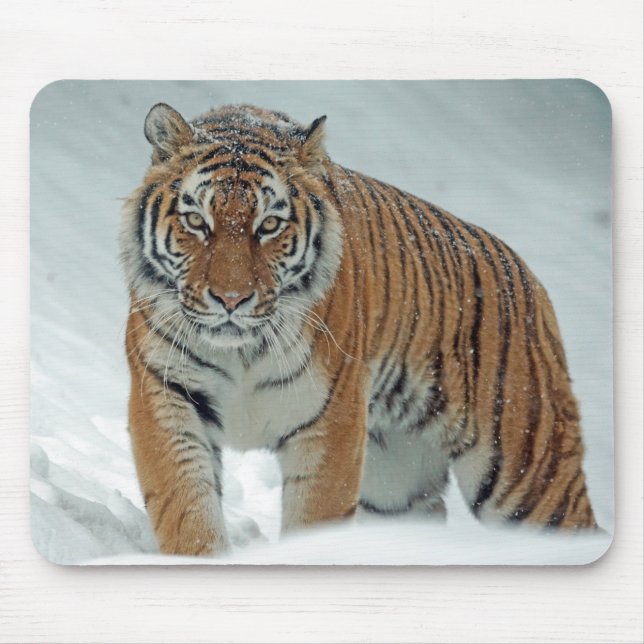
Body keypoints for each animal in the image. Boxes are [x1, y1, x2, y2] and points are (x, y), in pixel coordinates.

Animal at [120, 102, 597, 556]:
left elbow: (314, 518)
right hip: (396, 485)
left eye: (269, 225)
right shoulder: (165, 395)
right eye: (196, 222)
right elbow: (186, 509)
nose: (232, 300)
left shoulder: (332, 419)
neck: (241, 351)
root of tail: (530, 279)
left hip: (529, 472)